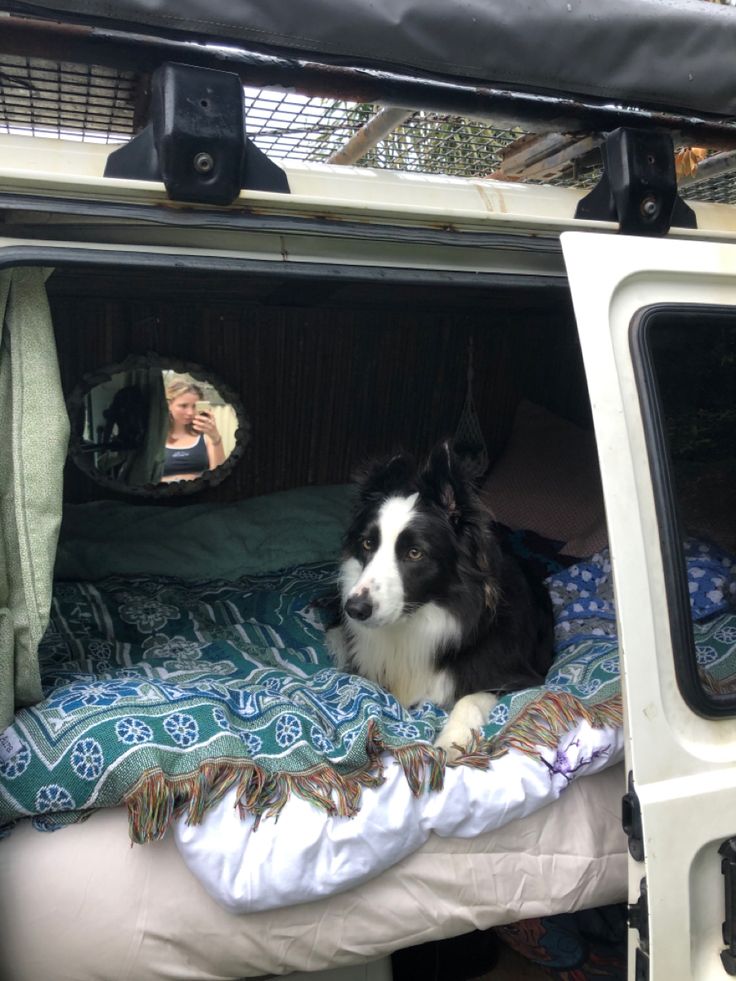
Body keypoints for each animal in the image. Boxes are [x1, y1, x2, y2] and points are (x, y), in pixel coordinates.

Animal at [326, 444, 552, 756]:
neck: (419, 619)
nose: (355, 609)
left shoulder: (517, 674)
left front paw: (451, 742)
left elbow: (469, 697)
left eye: (415, 553)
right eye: (368, 544)